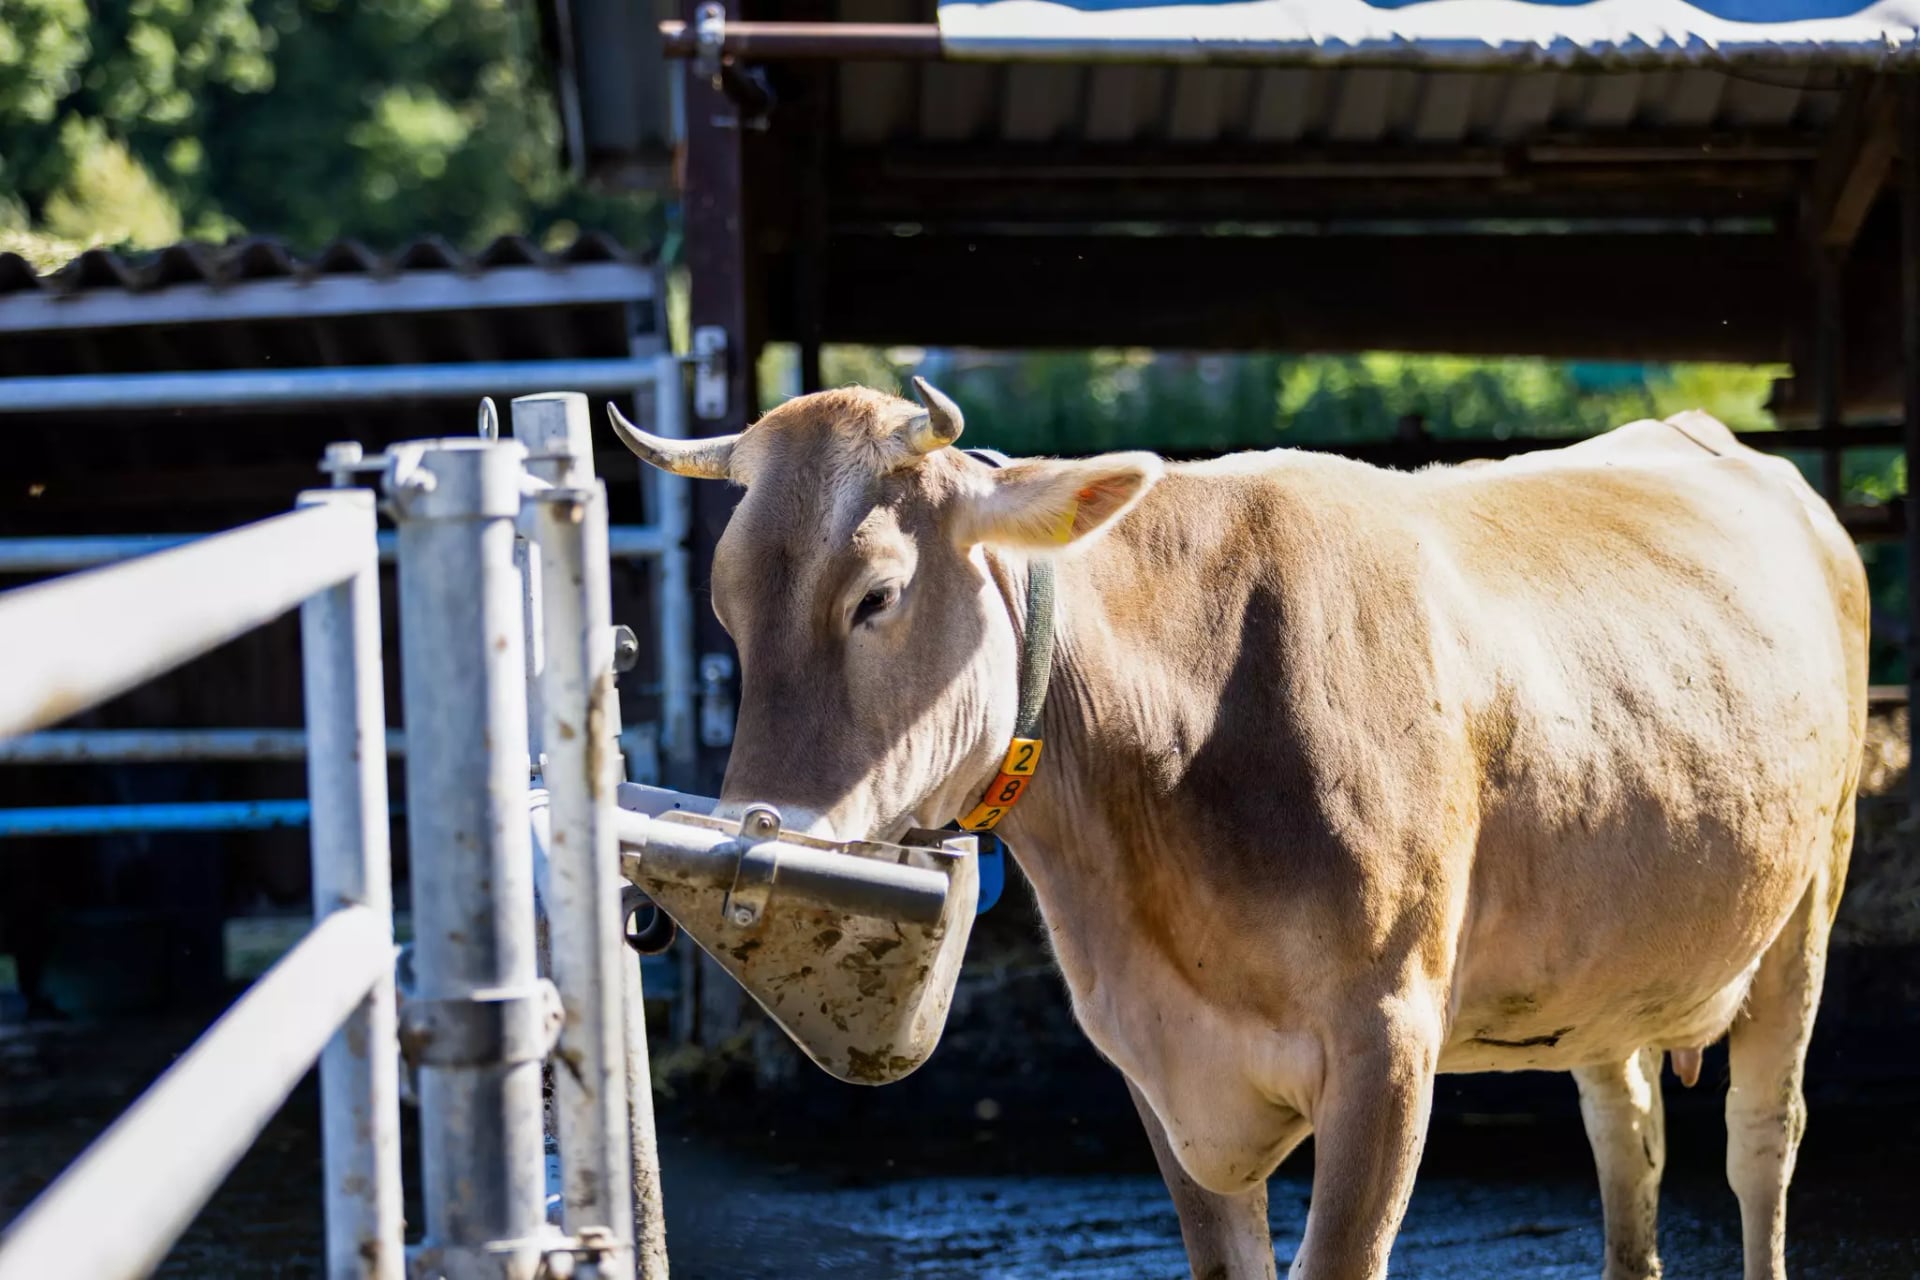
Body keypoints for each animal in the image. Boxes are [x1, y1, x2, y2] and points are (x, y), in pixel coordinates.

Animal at [607, 383, 1865, 1280]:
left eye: (877, 593)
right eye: (723, 605)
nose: (767, 827)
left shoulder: (1388, 1039)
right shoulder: (1155, 1059)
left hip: (1811, 900)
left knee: (1763, 1140)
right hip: (1610, 969)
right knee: (1627, 1134)